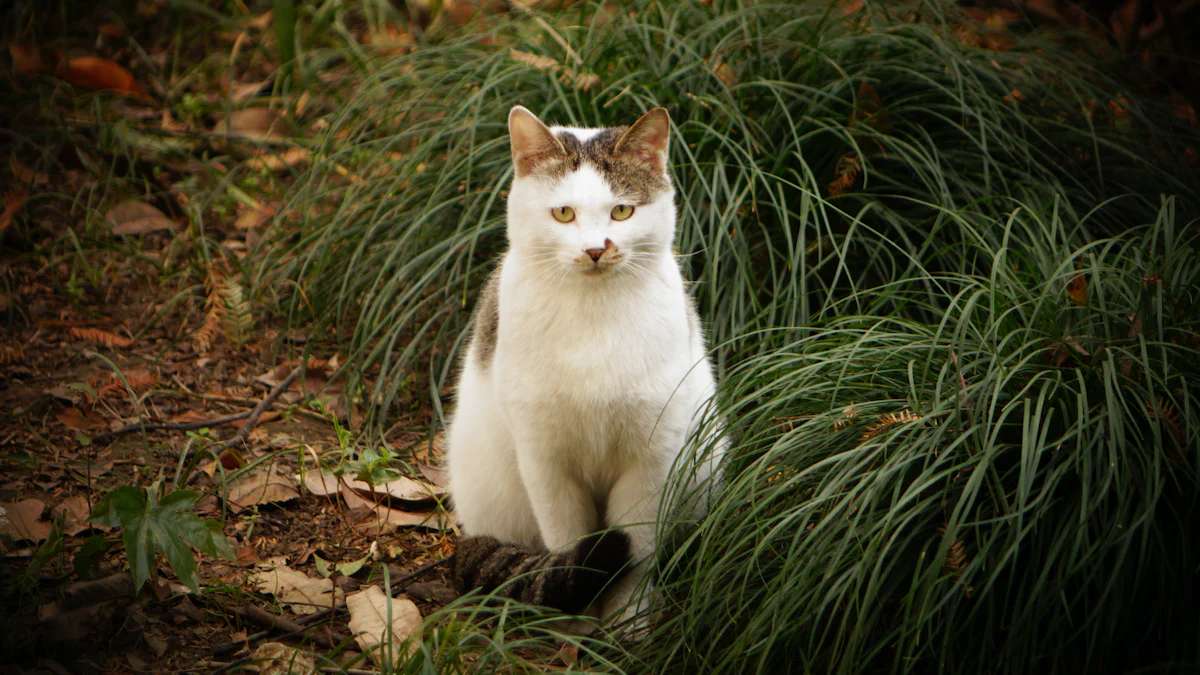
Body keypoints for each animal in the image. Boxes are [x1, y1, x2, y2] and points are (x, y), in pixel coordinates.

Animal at [441, 105, 720, 619]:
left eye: (622, 210)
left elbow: (635, 563)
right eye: (564, 213)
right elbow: (568, 549)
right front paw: (573, 627)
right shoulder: (546, 461)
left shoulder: (650, 462)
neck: (592, 315)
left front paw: (628, 627)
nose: (595, 249)